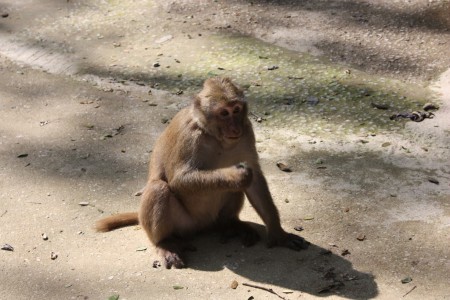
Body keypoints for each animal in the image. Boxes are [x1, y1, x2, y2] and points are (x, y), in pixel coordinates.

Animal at [96, 77, 310, 270]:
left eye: (236, 110)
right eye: (223, 113)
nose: (235, 127)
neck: (215, 136)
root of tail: (203, 226)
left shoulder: (247, 130)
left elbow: (255, 179)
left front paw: (279, 235)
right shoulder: (189, 135)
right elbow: (179, 181)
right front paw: (235, 176)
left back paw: (230, 224)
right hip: (184, 224)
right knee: (159, 188)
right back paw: (164, 243)